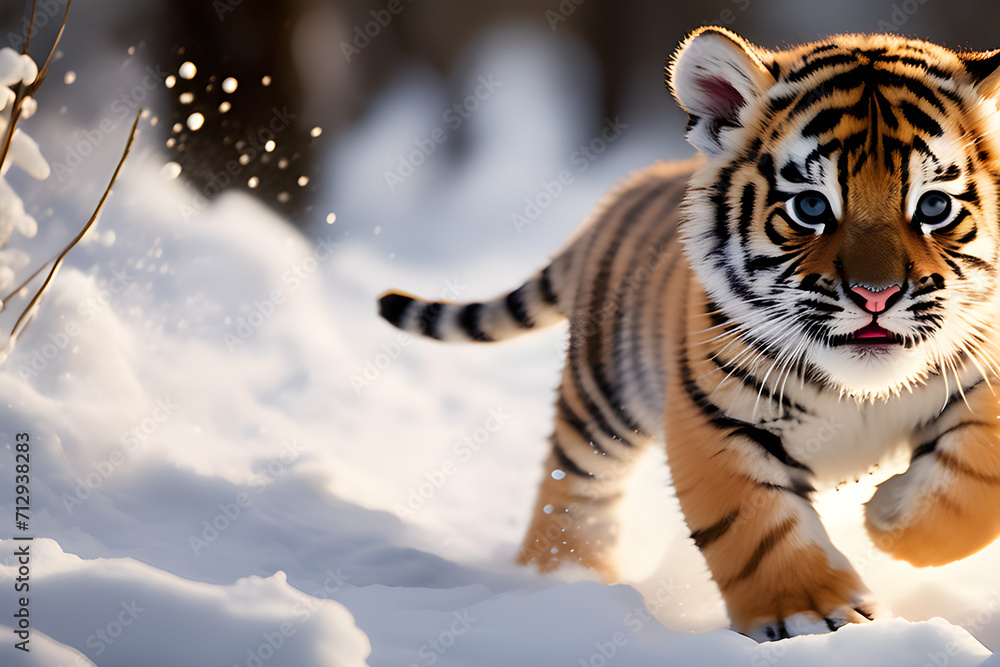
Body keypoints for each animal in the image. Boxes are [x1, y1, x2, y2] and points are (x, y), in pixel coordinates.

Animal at [377, 26, 1000, 640]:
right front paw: (812, 618)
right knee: (573, 490)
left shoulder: (986, 375)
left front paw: (888, 513)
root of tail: (623, 193)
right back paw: (564, 583)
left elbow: (974, 485)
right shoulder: (715, 415)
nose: (876, 295)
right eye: (810, 206)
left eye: (934, 206)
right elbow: (755, 527)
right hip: (602, 398)